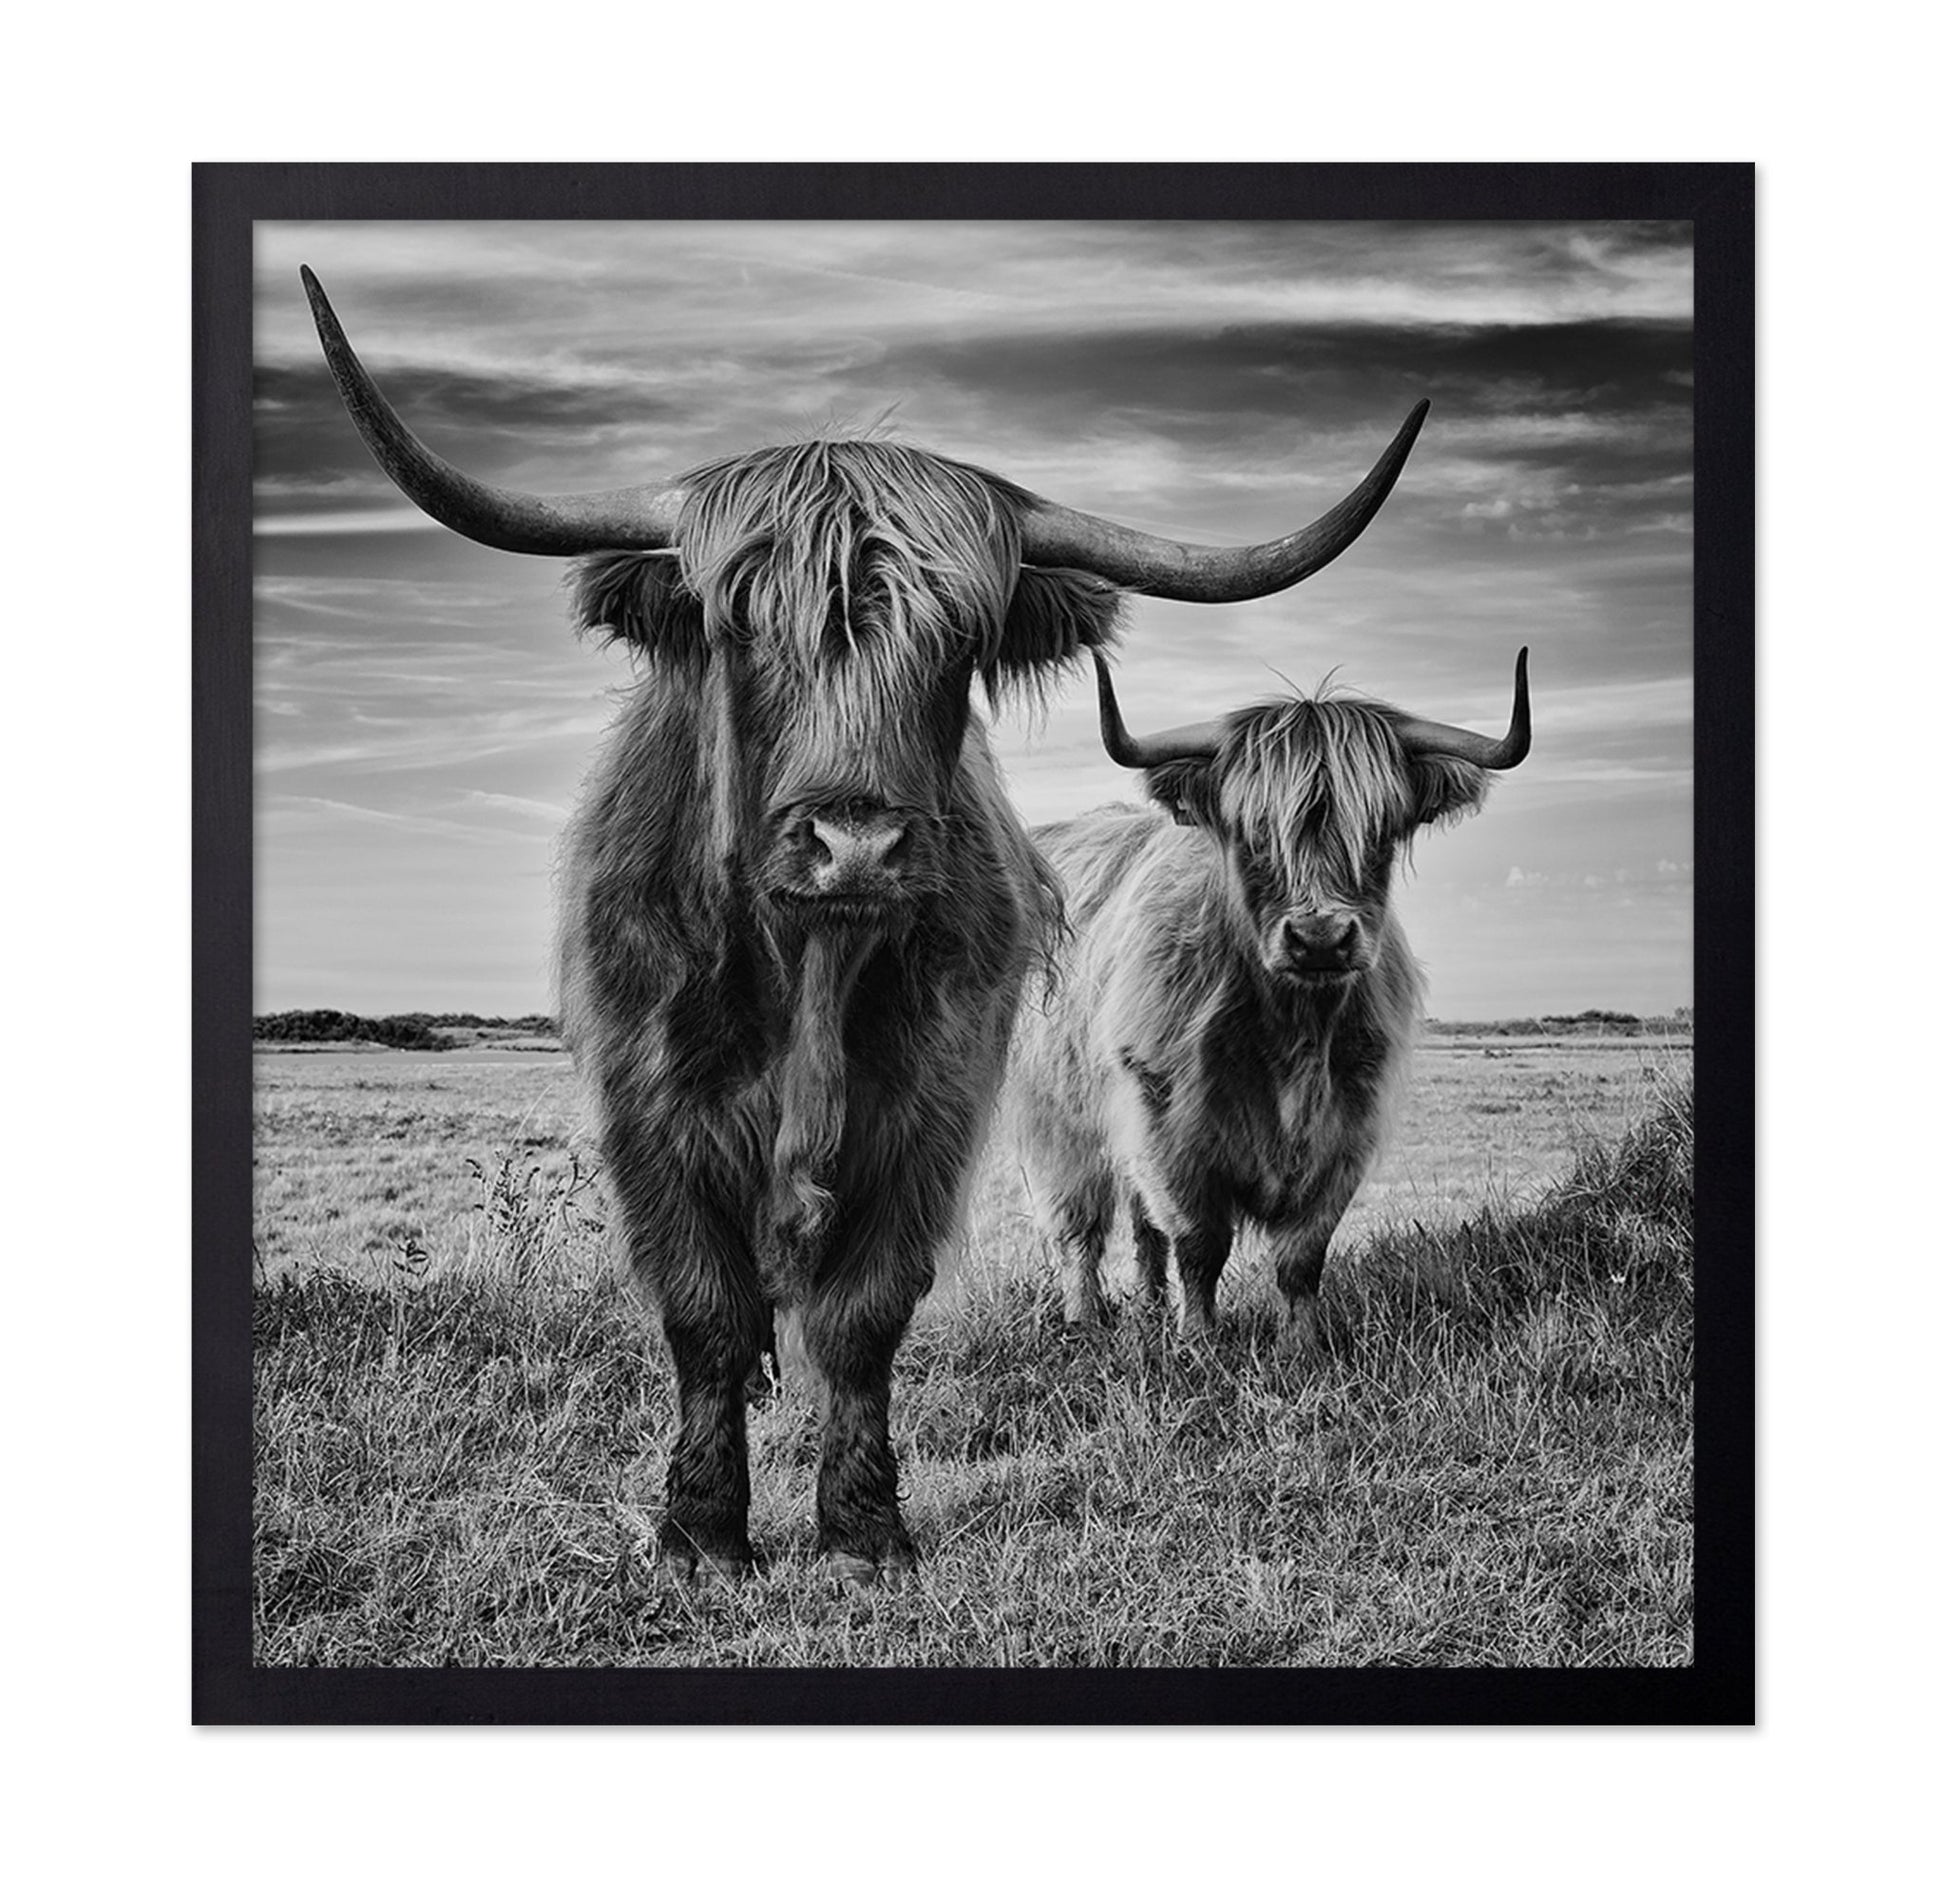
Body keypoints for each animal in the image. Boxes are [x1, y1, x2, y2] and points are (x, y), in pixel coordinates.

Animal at [300, 266, 1429, 1580]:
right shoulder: (648, 1112)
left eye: (958, 641)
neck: (809, 972)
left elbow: (864, 1314)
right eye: (742, 627)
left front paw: (861, 1530)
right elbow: (705, 1311)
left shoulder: (931, 1107)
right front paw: (700, 1535)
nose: (854, 844)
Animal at [1008, 649, 1530, 1356]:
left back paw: (1149, 1309)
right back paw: (1086, 1318)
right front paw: (1200, 1342)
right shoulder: (1168, 1126)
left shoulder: (1346, 1129)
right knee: (1080, 1225)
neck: (1293, 1032)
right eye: (1253, 834)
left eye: (1381, 832)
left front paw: (1300, 1347)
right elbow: (1199, 1243)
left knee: (1142, 1228)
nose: (1320, 938)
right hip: (1060, 1118)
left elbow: (1301, 1255)